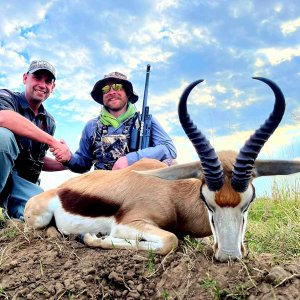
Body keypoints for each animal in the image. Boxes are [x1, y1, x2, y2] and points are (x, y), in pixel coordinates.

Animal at [25, 78, 300, 262]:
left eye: (249, 201)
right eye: (206, 201)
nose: (229, 255)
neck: (172, 194)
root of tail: (57, 190)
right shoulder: (130, 223)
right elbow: (170, 239)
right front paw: (92, 238)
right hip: (36, 220)